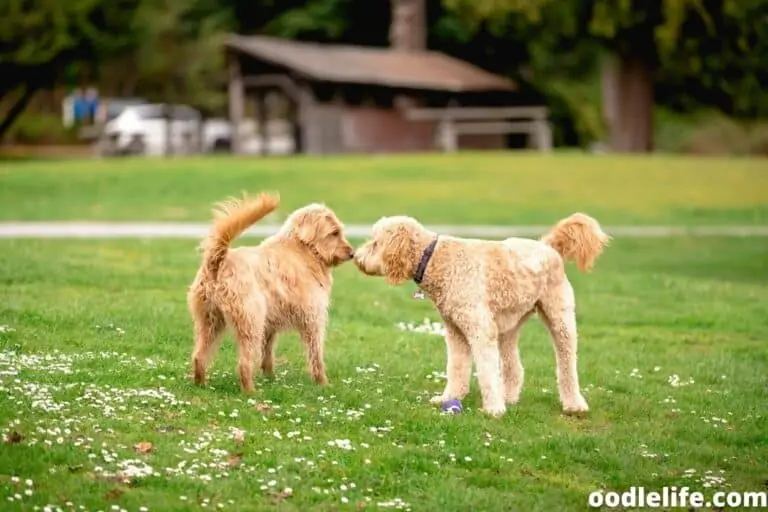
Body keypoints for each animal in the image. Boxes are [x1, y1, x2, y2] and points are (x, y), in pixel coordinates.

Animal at [188, 192, 356, 392]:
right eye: (334, 233)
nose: (353, 253)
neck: (303, 249)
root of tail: (218, 261)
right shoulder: (313, 319)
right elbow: (316, 355)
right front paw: (323, 383)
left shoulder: (270, 325)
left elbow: (267, 353)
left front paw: (270, 377)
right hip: (251, 322)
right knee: (243, 363)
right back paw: (251, 392)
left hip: (209, 322)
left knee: (199, 356)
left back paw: (201, 384)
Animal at [354, 212, 612, 416]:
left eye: (376, 243)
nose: (356, 257)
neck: (435, 259)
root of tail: (548, 246)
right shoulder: (456, 332)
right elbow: (456, 368)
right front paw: (449, 398)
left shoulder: (480, 330)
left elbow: (487, 371)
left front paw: (493, 410)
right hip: (509, 326)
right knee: (514, 367)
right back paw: (509, 397)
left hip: (559, 317)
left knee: (567, 363)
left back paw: (574, 404)